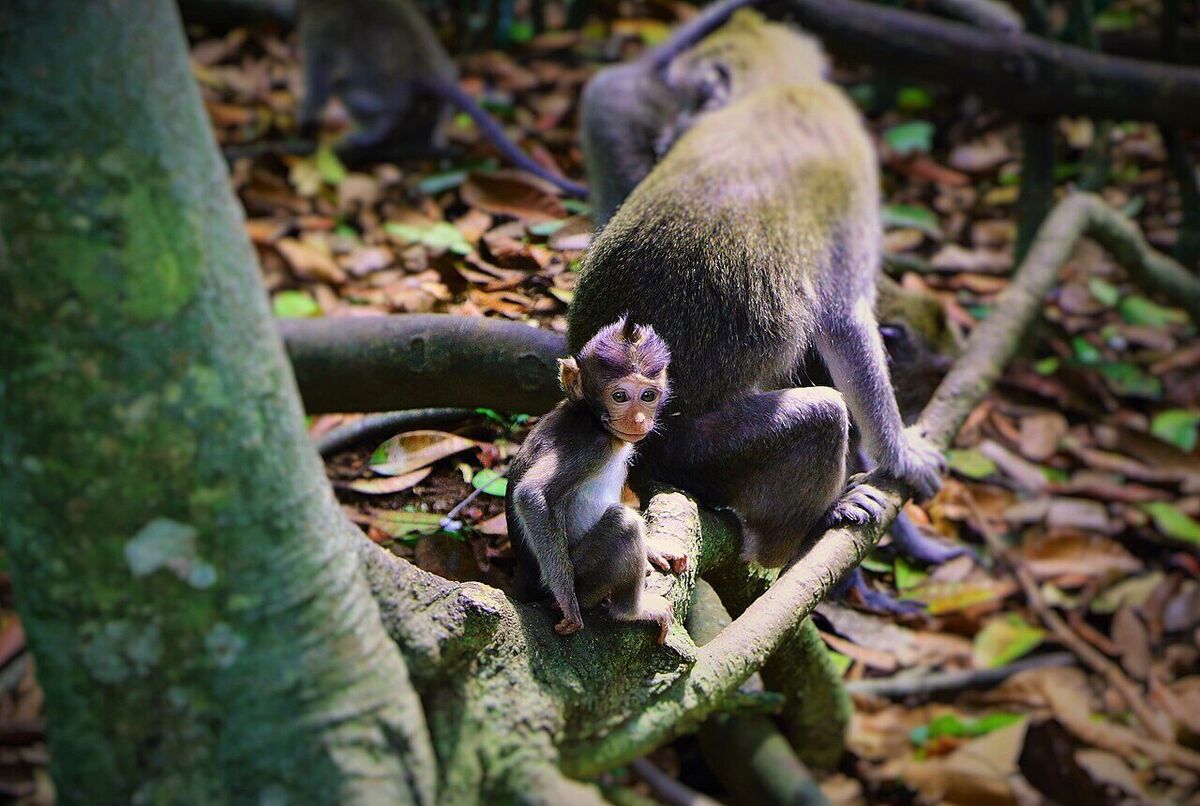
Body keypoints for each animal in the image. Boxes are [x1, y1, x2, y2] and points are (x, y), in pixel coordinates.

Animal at [293, 0, 588, 196]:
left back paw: (369, 133)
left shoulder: (318, 30)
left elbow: (319, 83)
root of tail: (428, 70)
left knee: (363, 98)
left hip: (373, 91)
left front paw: (303, 119)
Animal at [506, 318, 683, 643]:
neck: (592, 417)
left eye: (648, 396)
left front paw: (654, 549)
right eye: (620, 396)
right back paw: (631, 611)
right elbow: (530, 494)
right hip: (586, 576)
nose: (639, 420)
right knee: (624, 525)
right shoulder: (591, 444)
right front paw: (568, 606)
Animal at [567, 11, 945, 570]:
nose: (668, 132)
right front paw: (900, 454)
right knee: (823, 415)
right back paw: (811, 528)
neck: (776, 86)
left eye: (688, 99)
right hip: (697, 454)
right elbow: (845, 319)